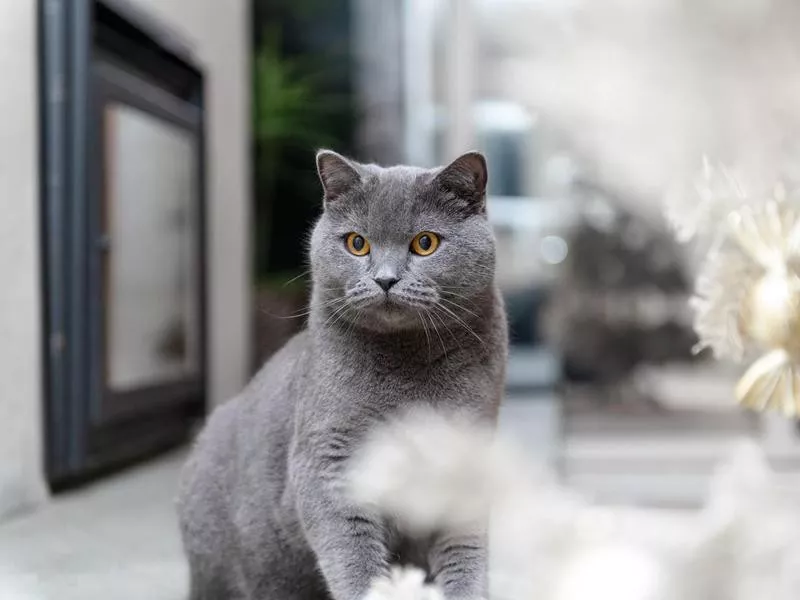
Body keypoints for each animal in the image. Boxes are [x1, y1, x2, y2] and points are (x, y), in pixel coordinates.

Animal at [179, 150, 510, 600]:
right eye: (357, 243)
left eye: (425, 243)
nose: (385, 279)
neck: (406, 369)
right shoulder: (327, 457)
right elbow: (352, 552)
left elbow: (464, 549)